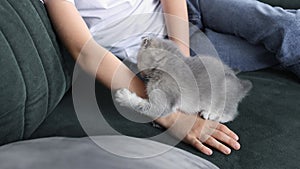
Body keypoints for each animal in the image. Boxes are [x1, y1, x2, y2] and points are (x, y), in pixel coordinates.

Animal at [113, 37, 252, 123]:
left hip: (225, 96)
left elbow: (142, 106)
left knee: (230, 113)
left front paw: (124, 97)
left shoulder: (164, 103)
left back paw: (212, 114)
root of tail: (240, 85)